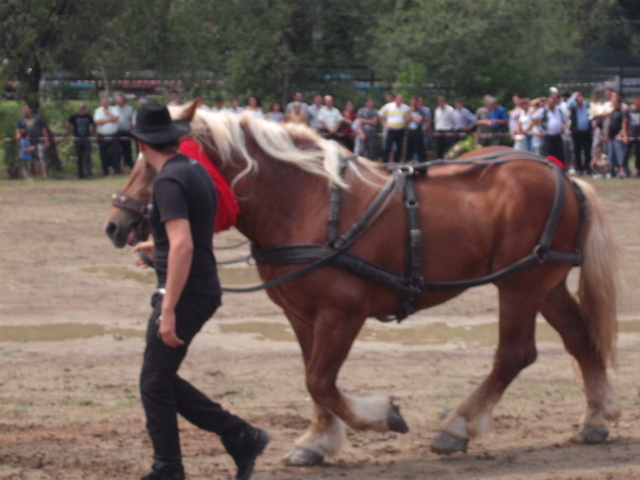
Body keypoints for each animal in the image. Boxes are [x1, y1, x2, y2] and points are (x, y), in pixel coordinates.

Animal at [106, 100, 620, 464]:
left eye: (153, 163)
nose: (116, 225)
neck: (307, 201)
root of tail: (562, 173)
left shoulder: (342, 313)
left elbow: (321, 380)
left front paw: (380, 417)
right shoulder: (301, 314)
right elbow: (314, 378)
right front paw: (317, 440)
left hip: (519, 285)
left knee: (515, 354)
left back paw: (457, 427)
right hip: (544, 282)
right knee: (579, 338)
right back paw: (595, 418)